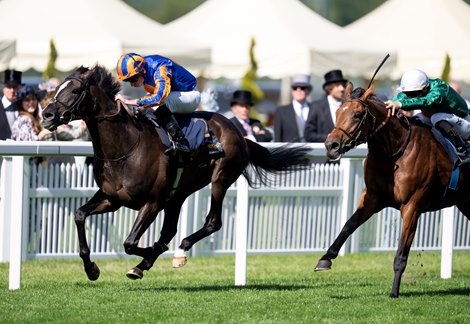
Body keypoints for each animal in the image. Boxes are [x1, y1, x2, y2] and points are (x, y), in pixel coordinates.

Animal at [42, 66, 310, 280]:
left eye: (75, 91)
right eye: (57, 88)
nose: (46, 115)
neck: (125, 147)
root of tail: (239, 133)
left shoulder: (152, 202)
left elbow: (130, 243)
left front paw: (150, 254)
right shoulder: (112, 199)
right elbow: (79, 215)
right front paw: (92, 269)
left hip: (220, 178)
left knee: (212, 222)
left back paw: (179, 251)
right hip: (179, 193)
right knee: (170, 230)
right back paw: (146, 263)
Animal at [314, 84, 470, 298]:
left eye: (357, 114)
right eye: (337, 112)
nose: (331, 145)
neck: (394, 152)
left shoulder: (412, 206)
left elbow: (401, 253)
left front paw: (394, 291)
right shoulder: (373, 198)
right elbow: (349, 225)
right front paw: (325, 258)